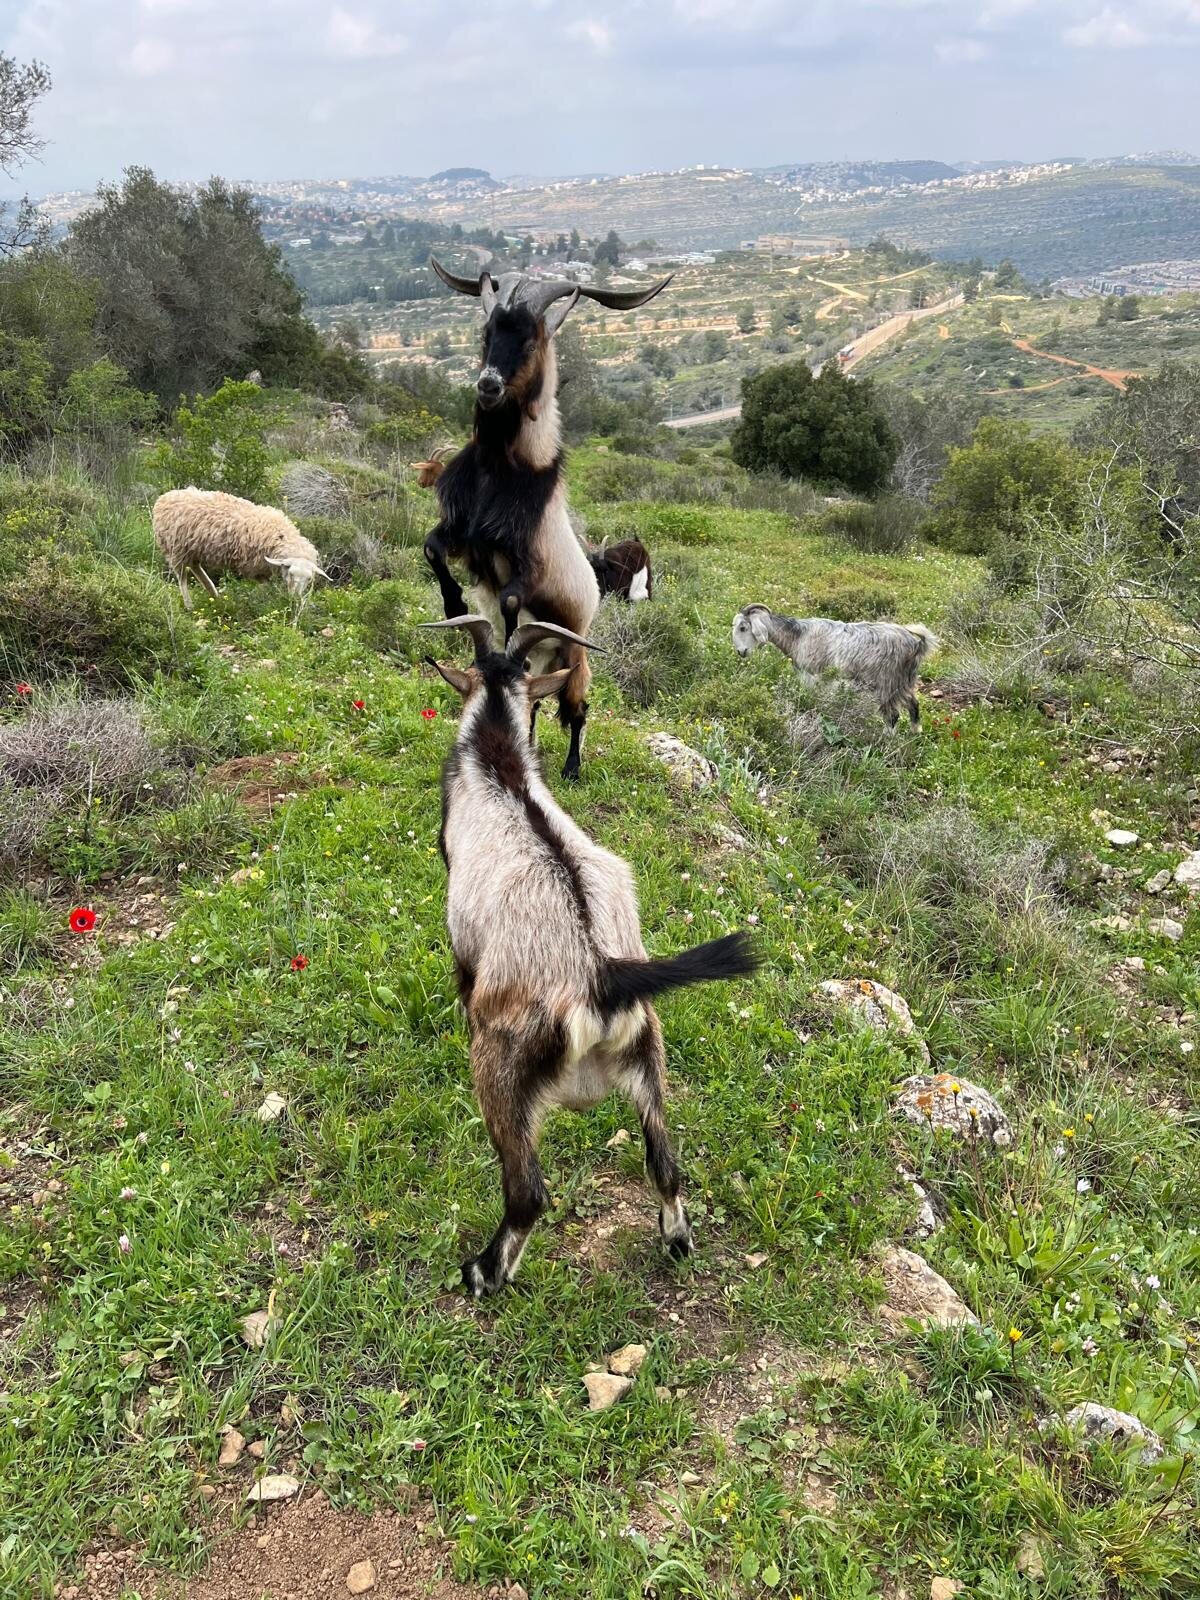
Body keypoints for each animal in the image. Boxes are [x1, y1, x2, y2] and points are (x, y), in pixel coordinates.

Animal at [424, 260, 671, 778]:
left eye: (531, 341)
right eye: (487, 333)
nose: (489, 385)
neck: (507, 470)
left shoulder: (529, 563)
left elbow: (513, 599)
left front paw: (498, 636)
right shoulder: (462, 529)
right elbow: (432, 547)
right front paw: (454, 605)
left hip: (573, 657)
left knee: (577, 709)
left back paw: (572, 768)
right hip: (545, 665)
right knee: (535, 703)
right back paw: (529, 741)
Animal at [424, 613, 759, 1295]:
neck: (497, 761)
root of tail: (601, 977)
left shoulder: (464, 948)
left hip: (500, 1066)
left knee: (527, 1192)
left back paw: (482, 1273)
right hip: (648, 1055)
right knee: (666, 1163)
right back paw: (676, 1241)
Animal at [732, 604, 939, 727]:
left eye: (743, 627)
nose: (741, 652)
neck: (798, 636)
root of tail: (916, 643)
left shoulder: (811, 675)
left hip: (888, 682)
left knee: (892, 716)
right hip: (905, 682)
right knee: (913, 705)